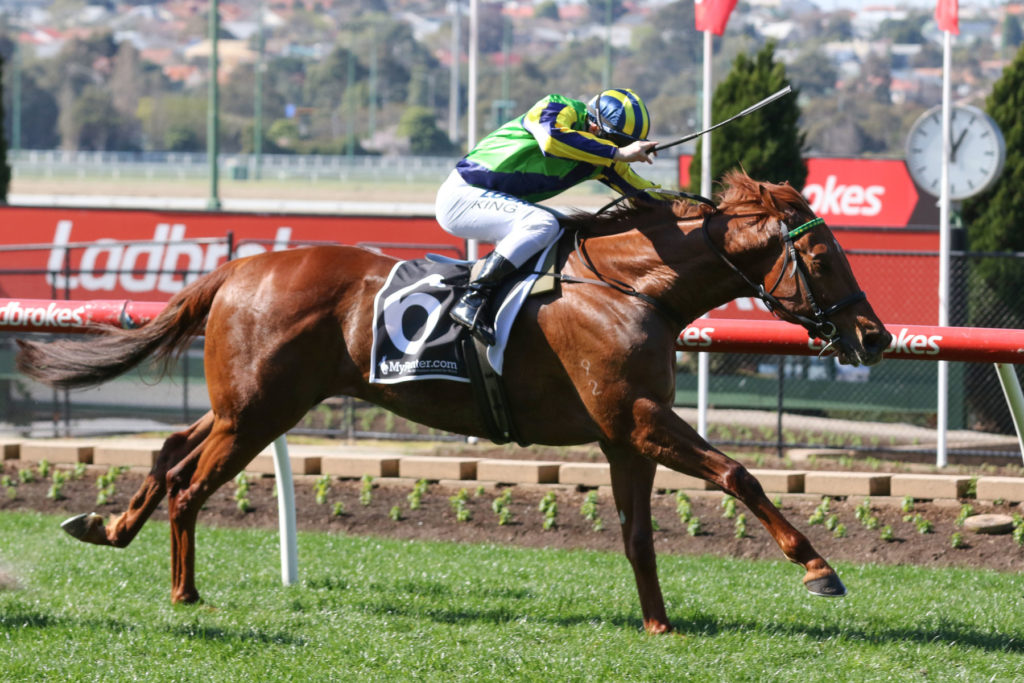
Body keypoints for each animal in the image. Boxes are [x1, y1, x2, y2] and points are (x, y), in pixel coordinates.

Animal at [15, 170, 891, 634]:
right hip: (260, 414)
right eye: (821, 255)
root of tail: (237, 268)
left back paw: (104, 526)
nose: (874, 336)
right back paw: (184, 591)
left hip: (248, 407)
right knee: (191, 484)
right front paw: (819, 568)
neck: (630, 286)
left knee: (170, 454)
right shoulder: (639, 420)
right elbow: (738, 473)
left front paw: (658, 622)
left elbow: (639, 535)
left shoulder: (623, 433)